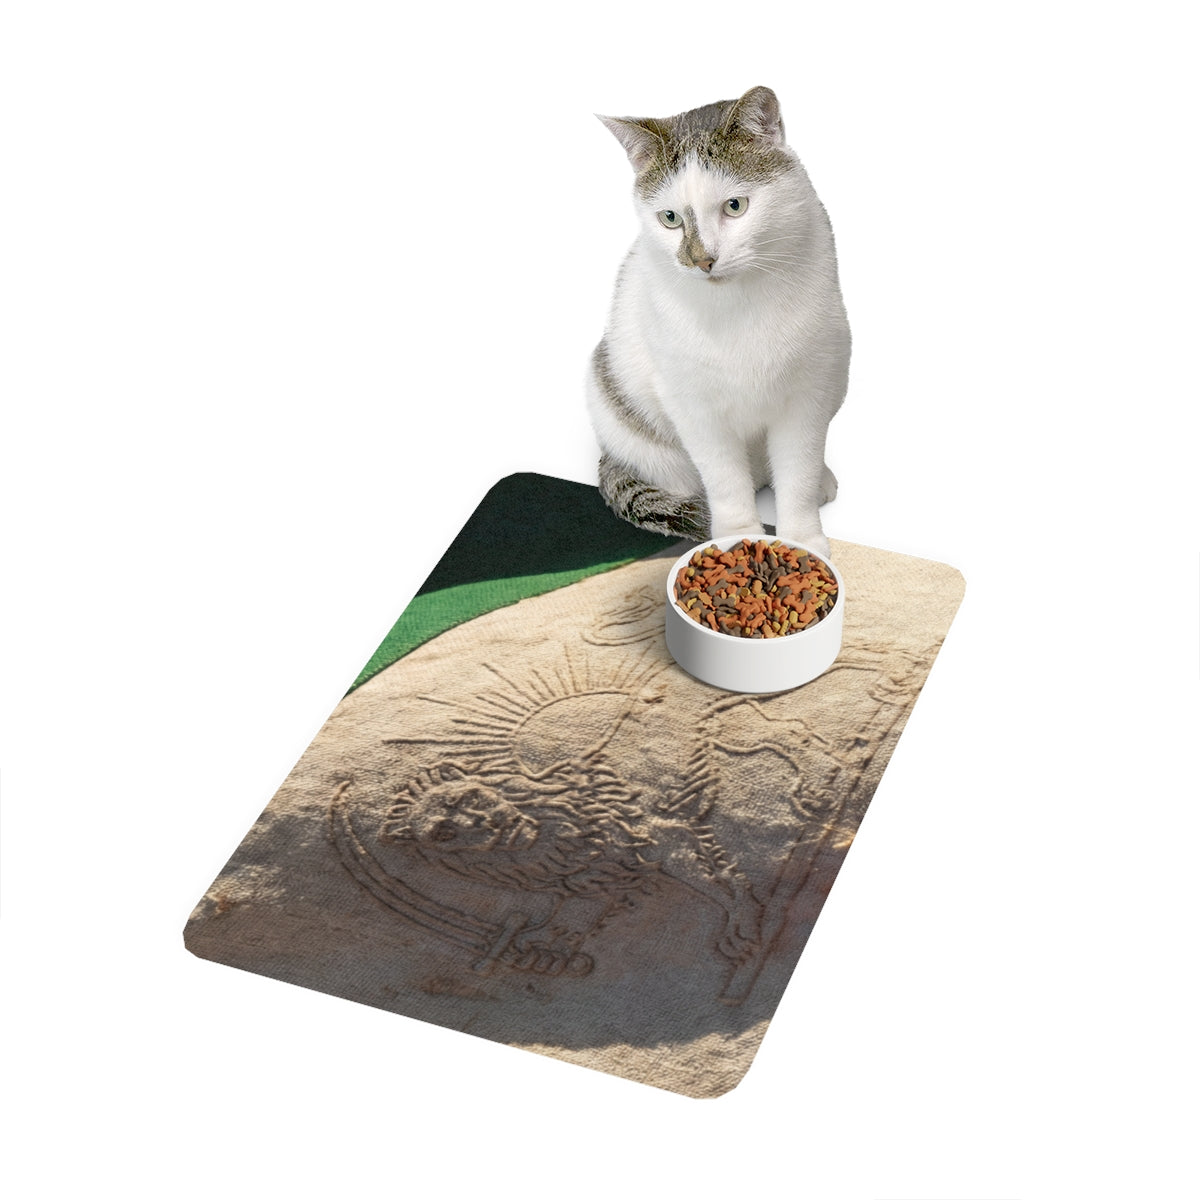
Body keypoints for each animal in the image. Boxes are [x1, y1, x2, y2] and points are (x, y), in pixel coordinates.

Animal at [378, 759, 762, 963]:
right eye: (444, 833)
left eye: (468, 798)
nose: (483, 824)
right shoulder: (584, 879)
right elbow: (571, 915)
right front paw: (544, 946)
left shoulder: (652, 842)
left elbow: (728, 884)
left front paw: (741, 924)